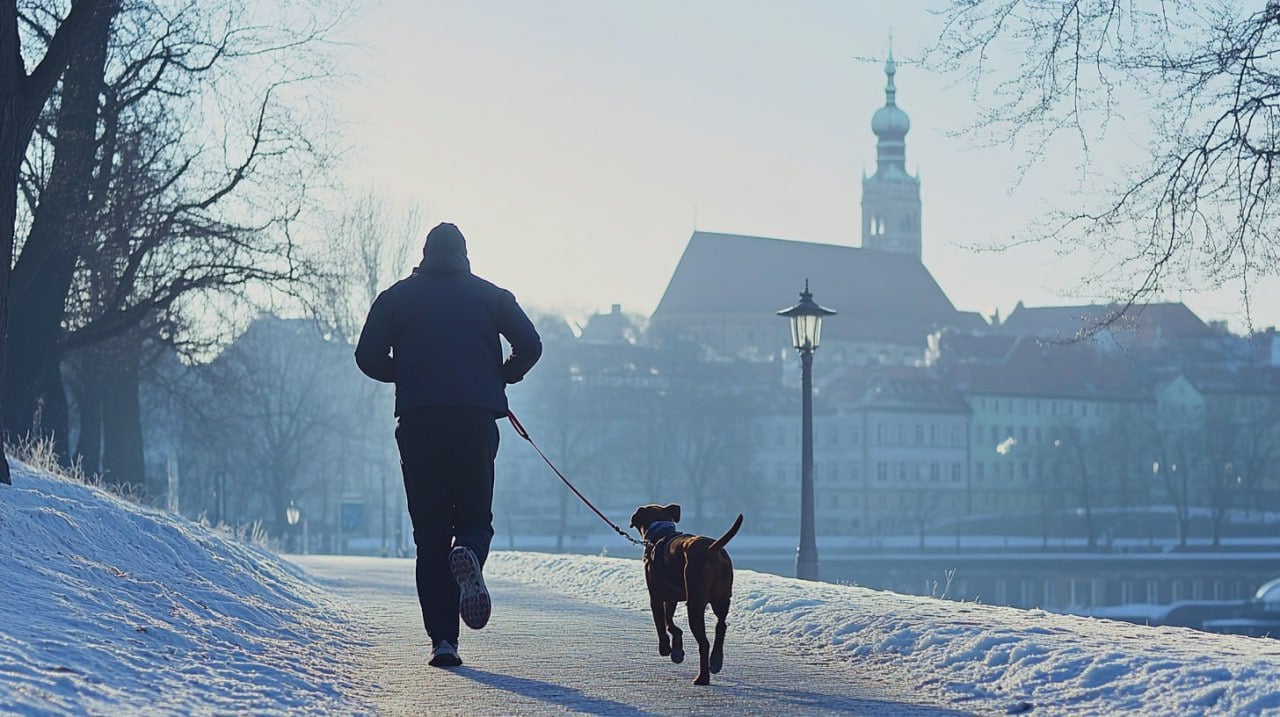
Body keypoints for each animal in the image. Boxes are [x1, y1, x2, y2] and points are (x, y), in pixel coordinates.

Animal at [627, 501, 742, 686]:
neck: (659, 533)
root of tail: (711, 549)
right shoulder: (671, 599)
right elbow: (670, 623)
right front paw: (677, 651)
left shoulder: (656, 598)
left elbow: (661, 624)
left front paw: (666, 648)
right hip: (722, 599)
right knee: (721, 626)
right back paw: (716, 661)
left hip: (695, 604)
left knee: (704, 643)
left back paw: (702, 677)